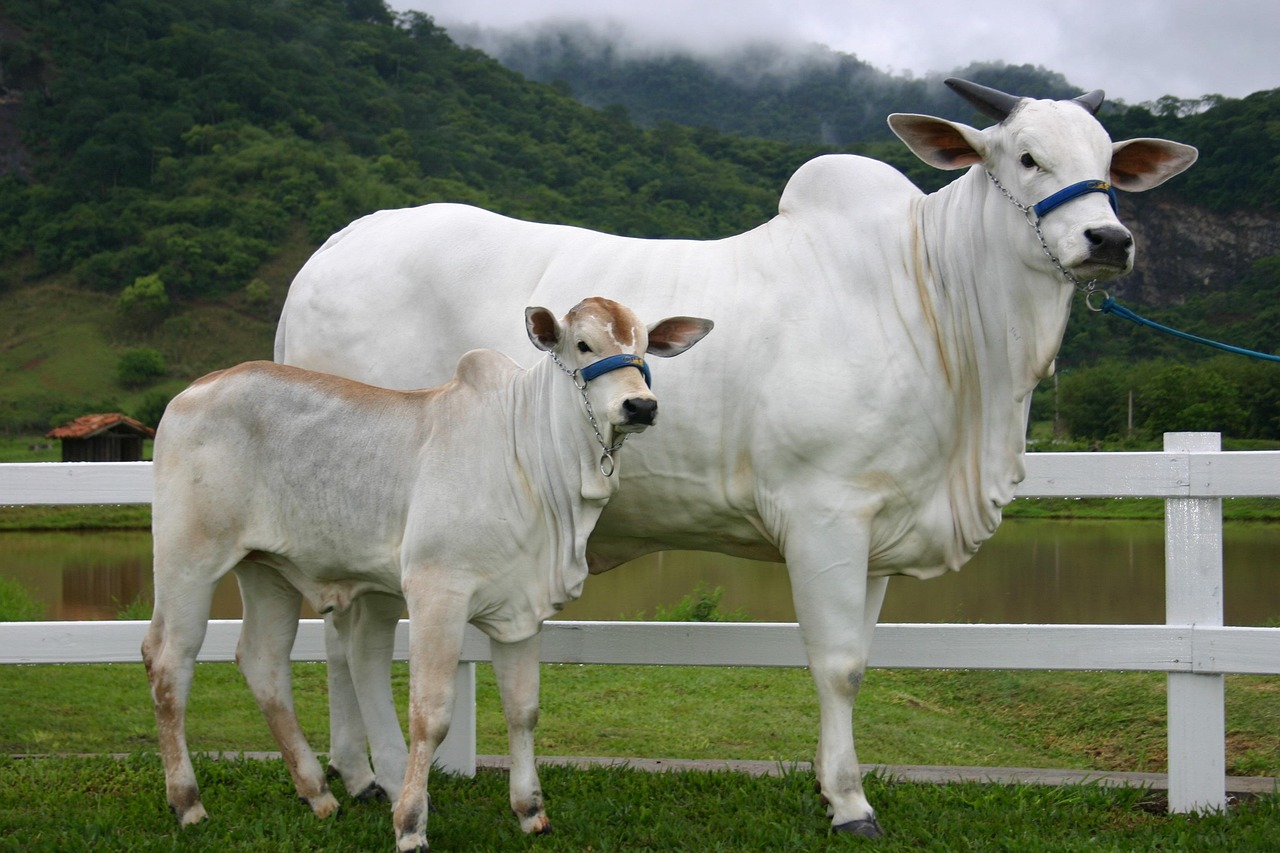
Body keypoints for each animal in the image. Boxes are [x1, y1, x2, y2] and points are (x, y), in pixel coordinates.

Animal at [141, 297, 714, 851]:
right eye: (582, 344)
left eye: (643, 347)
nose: (641, 405)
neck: (531, 459)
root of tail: (196, 389)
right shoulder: (437, 592)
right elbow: (430, 714)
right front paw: (411, 825)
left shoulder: (523, 608)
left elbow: (523, 709)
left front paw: (531, 811)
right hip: (187, 558)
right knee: (169, 660)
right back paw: (188, 802)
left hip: (267, 570)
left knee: (263, 662)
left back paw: (318, 794)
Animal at [274, 79, 1197, 837]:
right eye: (1027, 156)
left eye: (1110, 165)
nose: (1107, 238)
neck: (938, 300)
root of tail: (329, 254)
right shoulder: (826, 512)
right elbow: (836, 664)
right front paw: (851, 803)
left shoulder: (879, 527)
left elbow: (859, 658)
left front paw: (830, 785)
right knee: (358, 640)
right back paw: (377, 775)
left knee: (346, 637)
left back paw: (359, 773)